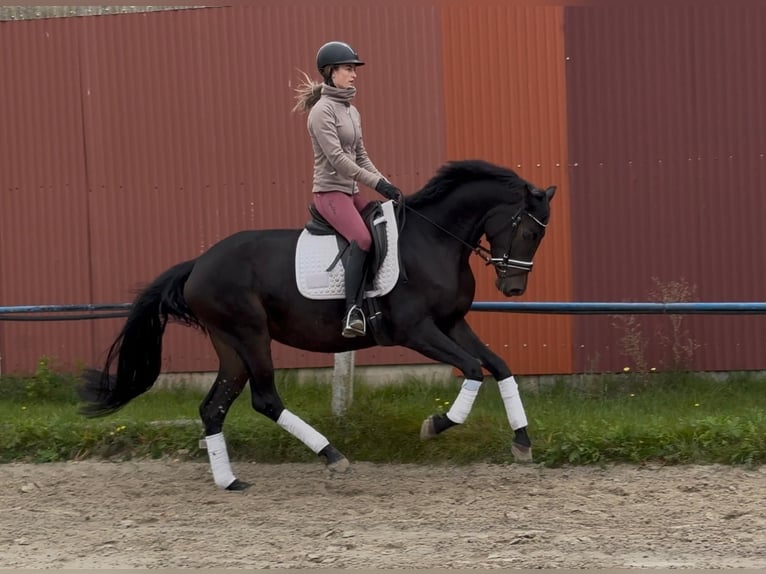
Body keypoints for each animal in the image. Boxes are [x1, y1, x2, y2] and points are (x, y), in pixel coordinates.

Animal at [79, 159, 556, 490]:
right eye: (529, 233)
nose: (513, 287)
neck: (434, 241)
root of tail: (199, 263)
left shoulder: (452, 324)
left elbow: (500, 367)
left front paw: (522, 442)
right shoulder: (416, 330)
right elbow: (474, 369)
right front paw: (436, 425)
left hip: (230, 345)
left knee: (213, 407)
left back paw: (230, 481)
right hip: (250, 336)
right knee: (265, 399)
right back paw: (331, 455)